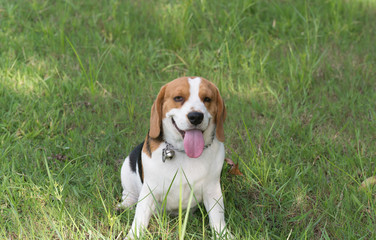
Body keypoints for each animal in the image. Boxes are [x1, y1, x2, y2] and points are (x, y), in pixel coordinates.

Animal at [120, 76, 231, 238]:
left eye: (207, 99)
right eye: (178, 98)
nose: (196, 116)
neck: (184, 152)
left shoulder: (213, 190)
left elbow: (217, 218)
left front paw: (223, 235)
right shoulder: (149, 191)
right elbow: (140, 218)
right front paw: (132, 236)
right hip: (127, 169)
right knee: (128, 194)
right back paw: (124, 205)